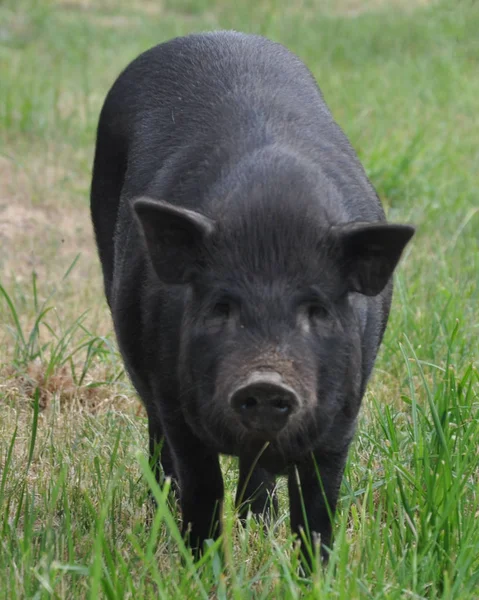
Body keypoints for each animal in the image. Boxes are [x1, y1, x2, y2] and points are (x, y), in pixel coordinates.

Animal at [92, 30, 414, 564]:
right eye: (221, 306)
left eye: (317, 310)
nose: (265, 380)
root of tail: (214, 35)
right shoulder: (176, 401)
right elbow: (202, 489)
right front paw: (201, 568)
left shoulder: (344, 412)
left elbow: (318, 508)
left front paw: (314, 572)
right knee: (159, 441)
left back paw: (257, 523)